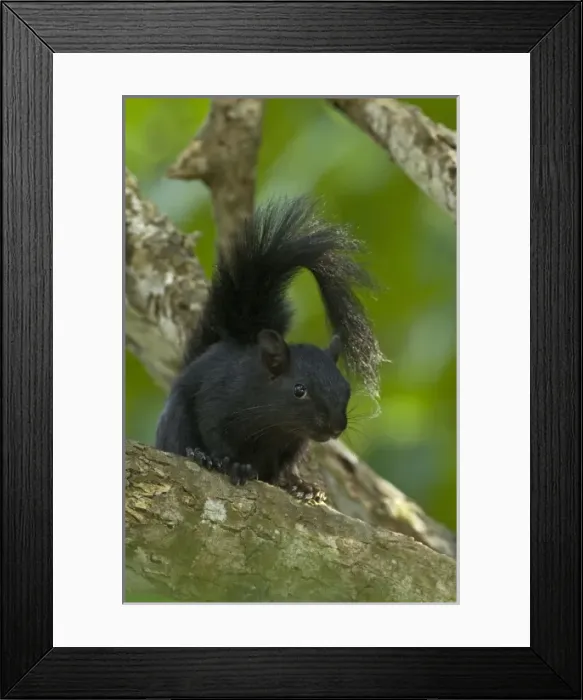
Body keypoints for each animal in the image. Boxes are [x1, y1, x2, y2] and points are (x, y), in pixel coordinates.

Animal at [155, 196, 383, 502]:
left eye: (346, 389)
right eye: (299, 390)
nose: (336, 427)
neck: (275, 426)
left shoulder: (294, 442)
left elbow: (283, 467)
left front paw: (299, 484)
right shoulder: (216, 399)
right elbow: (215, 434)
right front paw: (230, 463)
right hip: (176, 419)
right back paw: (200, 456)